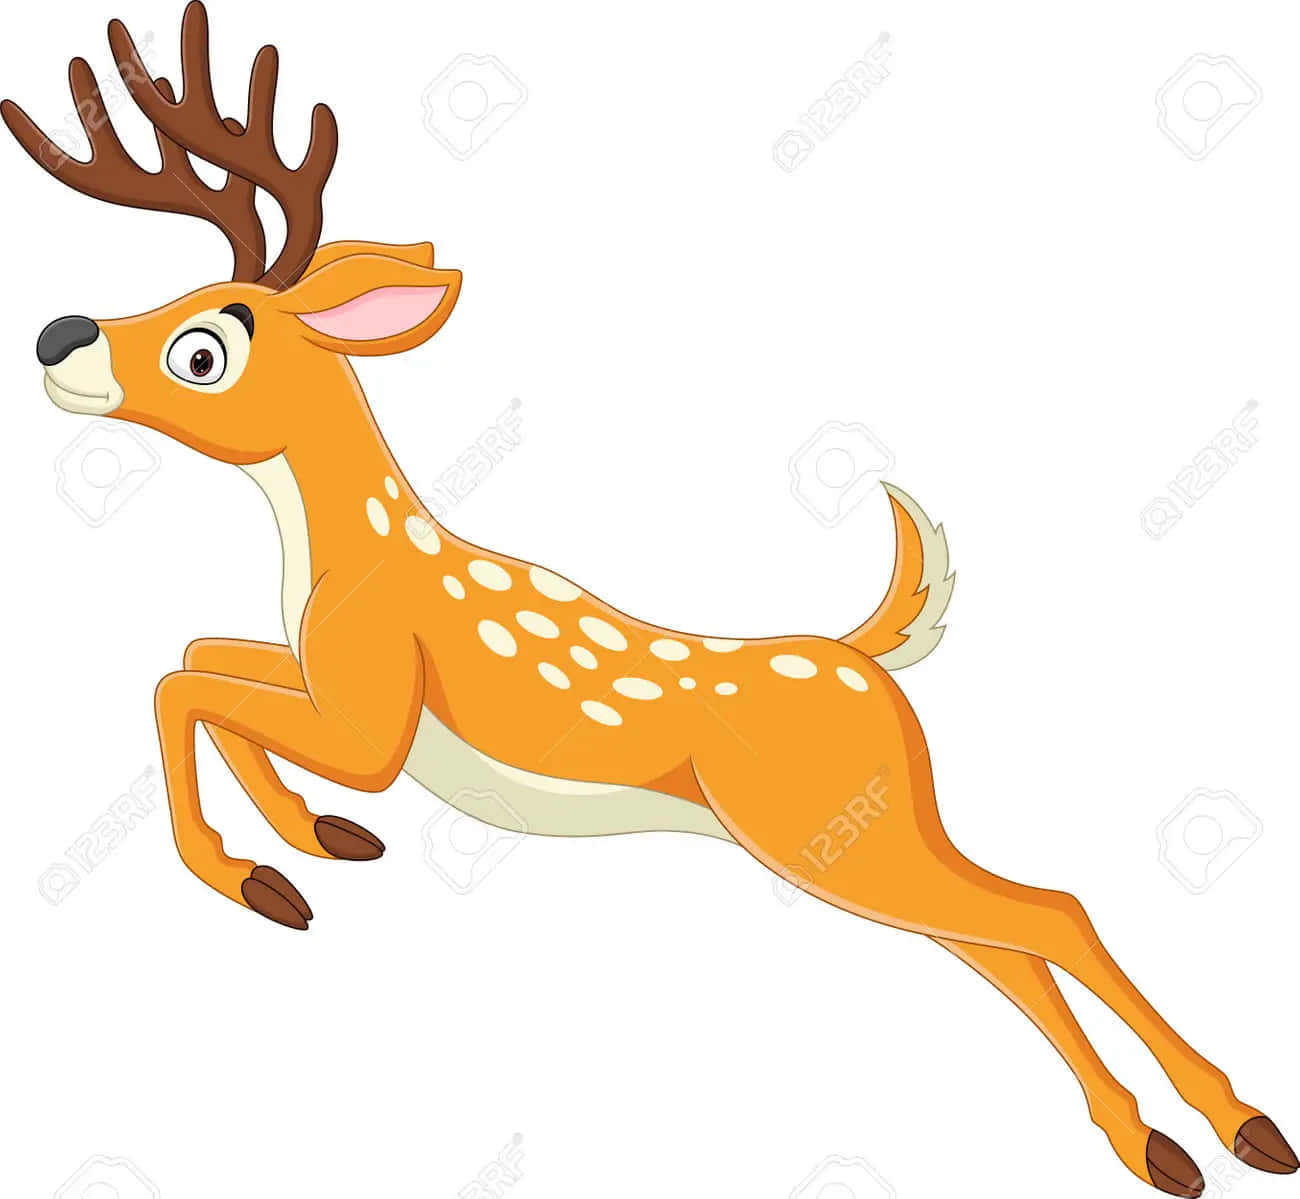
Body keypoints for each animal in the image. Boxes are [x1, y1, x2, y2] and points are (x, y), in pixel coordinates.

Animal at [4, 6, 1293, 1195]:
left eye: (205, 346)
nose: (59, 334)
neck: (348, 559)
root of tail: (863, 658)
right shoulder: (328, 673)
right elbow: (196, 650)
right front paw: (311, 841)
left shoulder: (374, 712)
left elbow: (176, 681)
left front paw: (253, 876)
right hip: (868, 828)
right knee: (999, 935)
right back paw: (1175, 1139)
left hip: (819, 833)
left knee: (1047, 910)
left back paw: (1227, 1130)